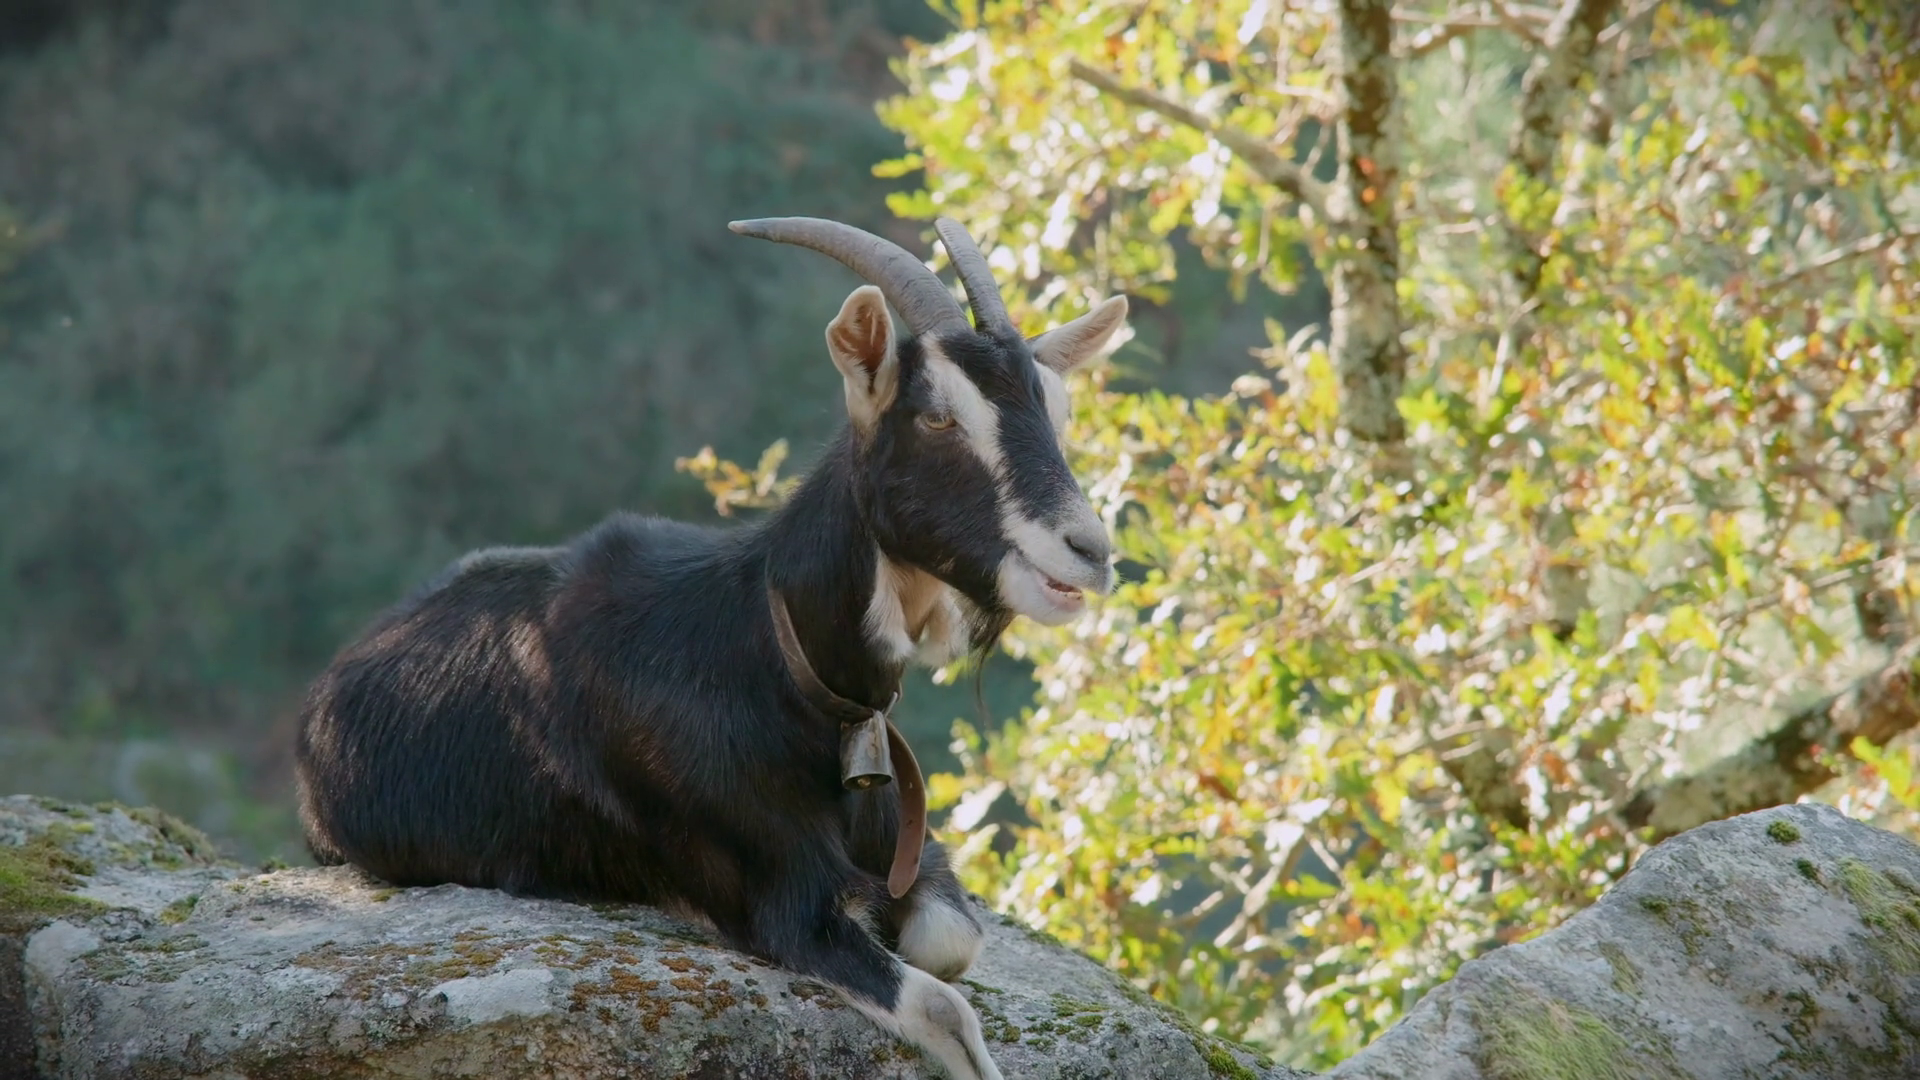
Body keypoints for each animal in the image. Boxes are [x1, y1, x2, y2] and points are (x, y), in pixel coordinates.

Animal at [293, 215, 1129, 1079]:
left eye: (1057, 409)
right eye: (937, 416)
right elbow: (945, 1005)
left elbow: (952, 941)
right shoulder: (779, 897)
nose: (1091, 551)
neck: (775, 657)